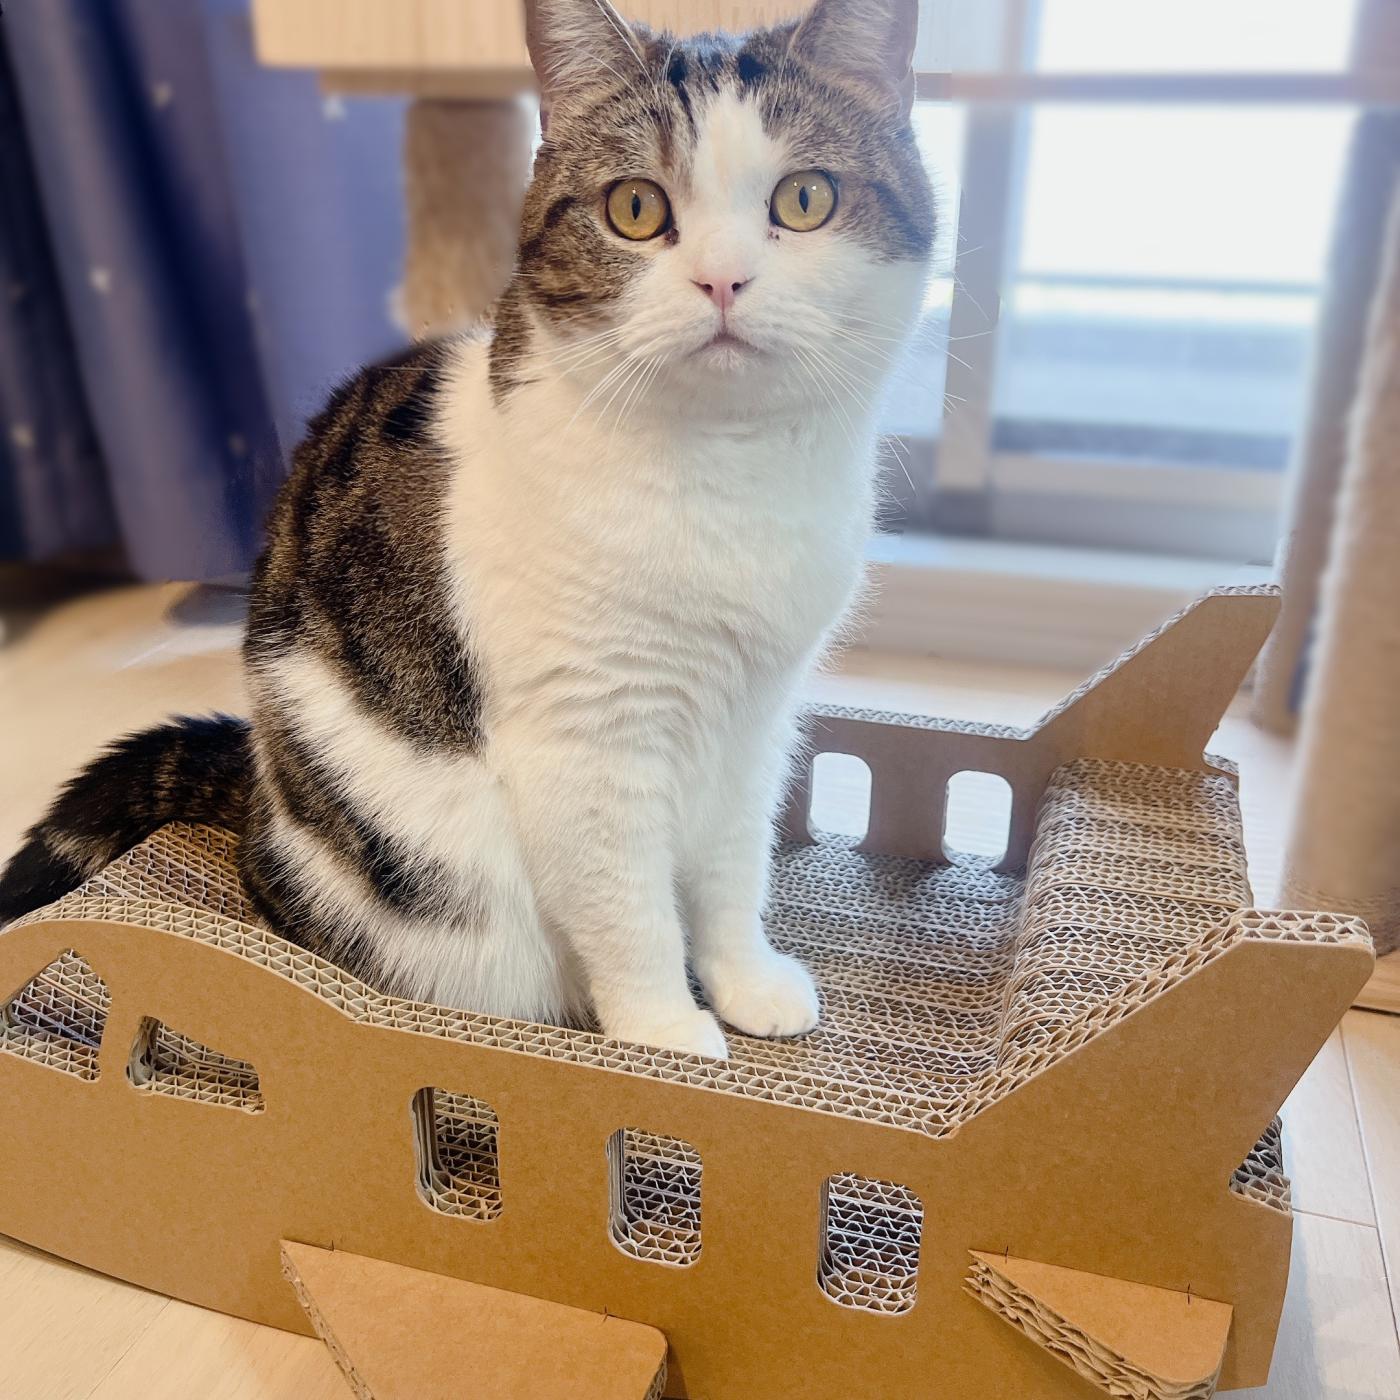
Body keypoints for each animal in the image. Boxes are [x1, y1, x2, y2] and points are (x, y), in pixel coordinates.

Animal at [0, 0, 933, 1058]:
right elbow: (630, 908)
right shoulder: (585, 736)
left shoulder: (758, 720)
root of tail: (259, 803)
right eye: (636, 209)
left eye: (806, 198)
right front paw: (663, 1036)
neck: (729, 480)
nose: (723, 280)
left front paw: (744, 983)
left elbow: (735, 868)